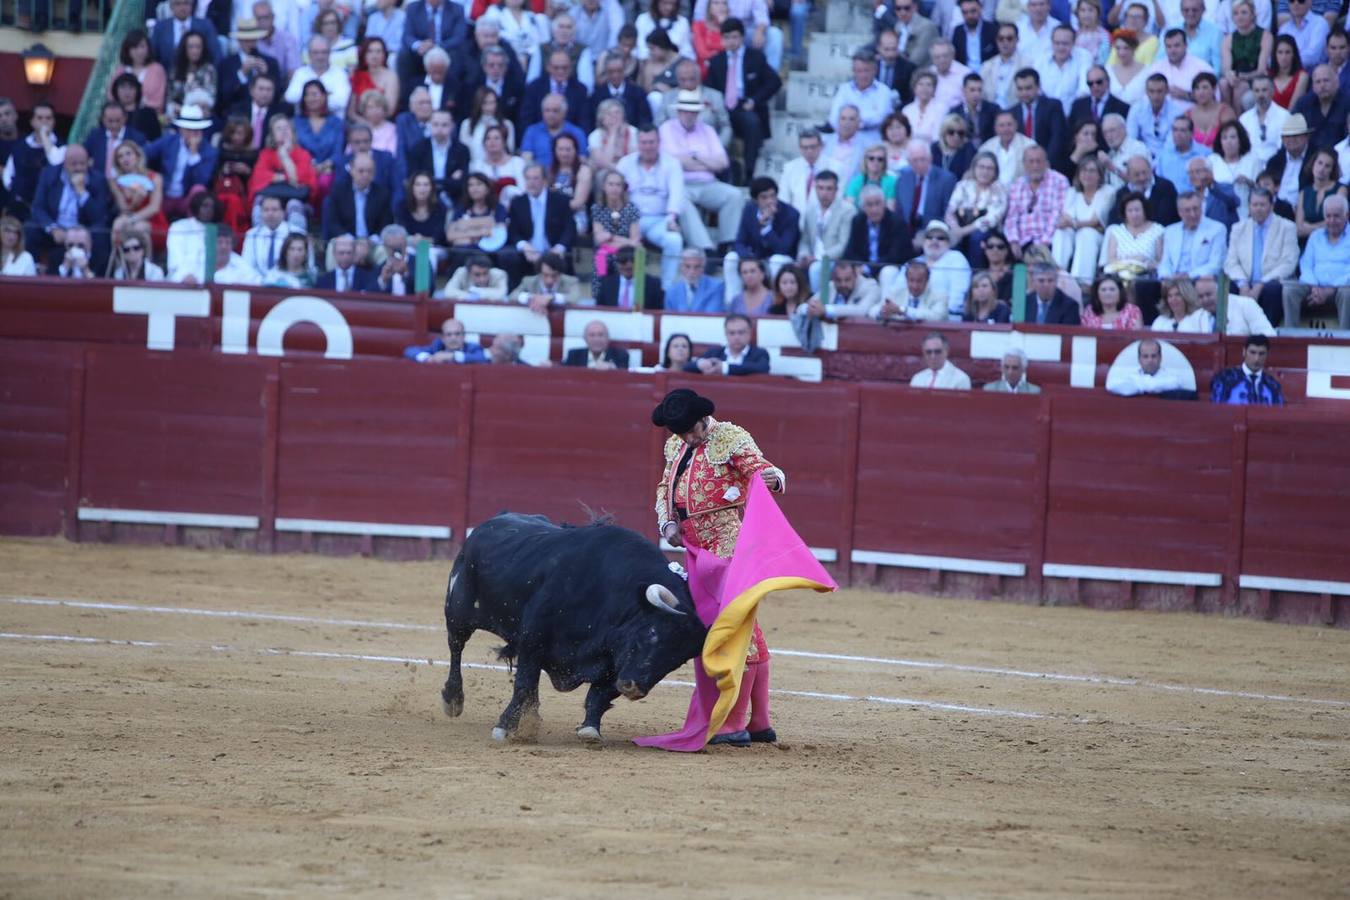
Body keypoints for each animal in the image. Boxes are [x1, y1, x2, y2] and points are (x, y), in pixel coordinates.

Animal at [440, 510, 707, 744]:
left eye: (677, 660)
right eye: (652, 633)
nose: (633, 688)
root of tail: (494, 520)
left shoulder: (615, 664)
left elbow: (599, 695)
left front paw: (590, 729)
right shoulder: (533, 639)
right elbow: (524, 684)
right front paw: (505, 727)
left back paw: (532, 717)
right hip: (458, 611)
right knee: (456, 648)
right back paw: (453, 700)